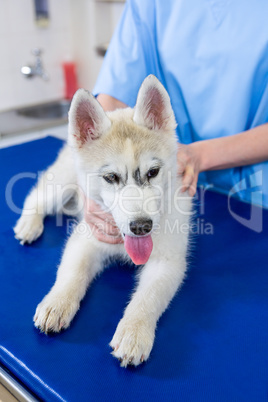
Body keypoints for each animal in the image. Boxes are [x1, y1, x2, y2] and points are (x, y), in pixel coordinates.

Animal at [14, 75, 191, 368]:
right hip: (62, 182)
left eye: (153, 172)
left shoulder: (167, 262)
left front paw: (134, 332)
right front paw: (57, 303)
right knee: (36, 196)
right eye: (110, 177)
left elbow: (146, 300)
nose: (141, 226)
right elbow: (71, 275)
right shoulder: (85, 240)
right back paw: (29, 225)